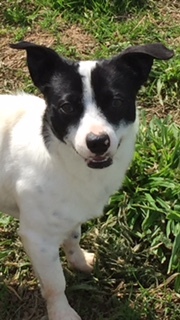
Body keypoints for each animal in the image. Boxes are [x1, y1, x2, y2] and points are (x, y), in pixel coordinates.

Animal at [0, 42, 174, 320]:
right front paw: (62, 313)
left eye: (116, 102)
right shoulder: (37, 239)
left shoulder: (70, 216)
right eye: (67, 107)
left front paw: (79, 261)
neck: (61, 159)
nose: (98, 142)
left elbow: (73, 238)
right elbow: (55, 283)